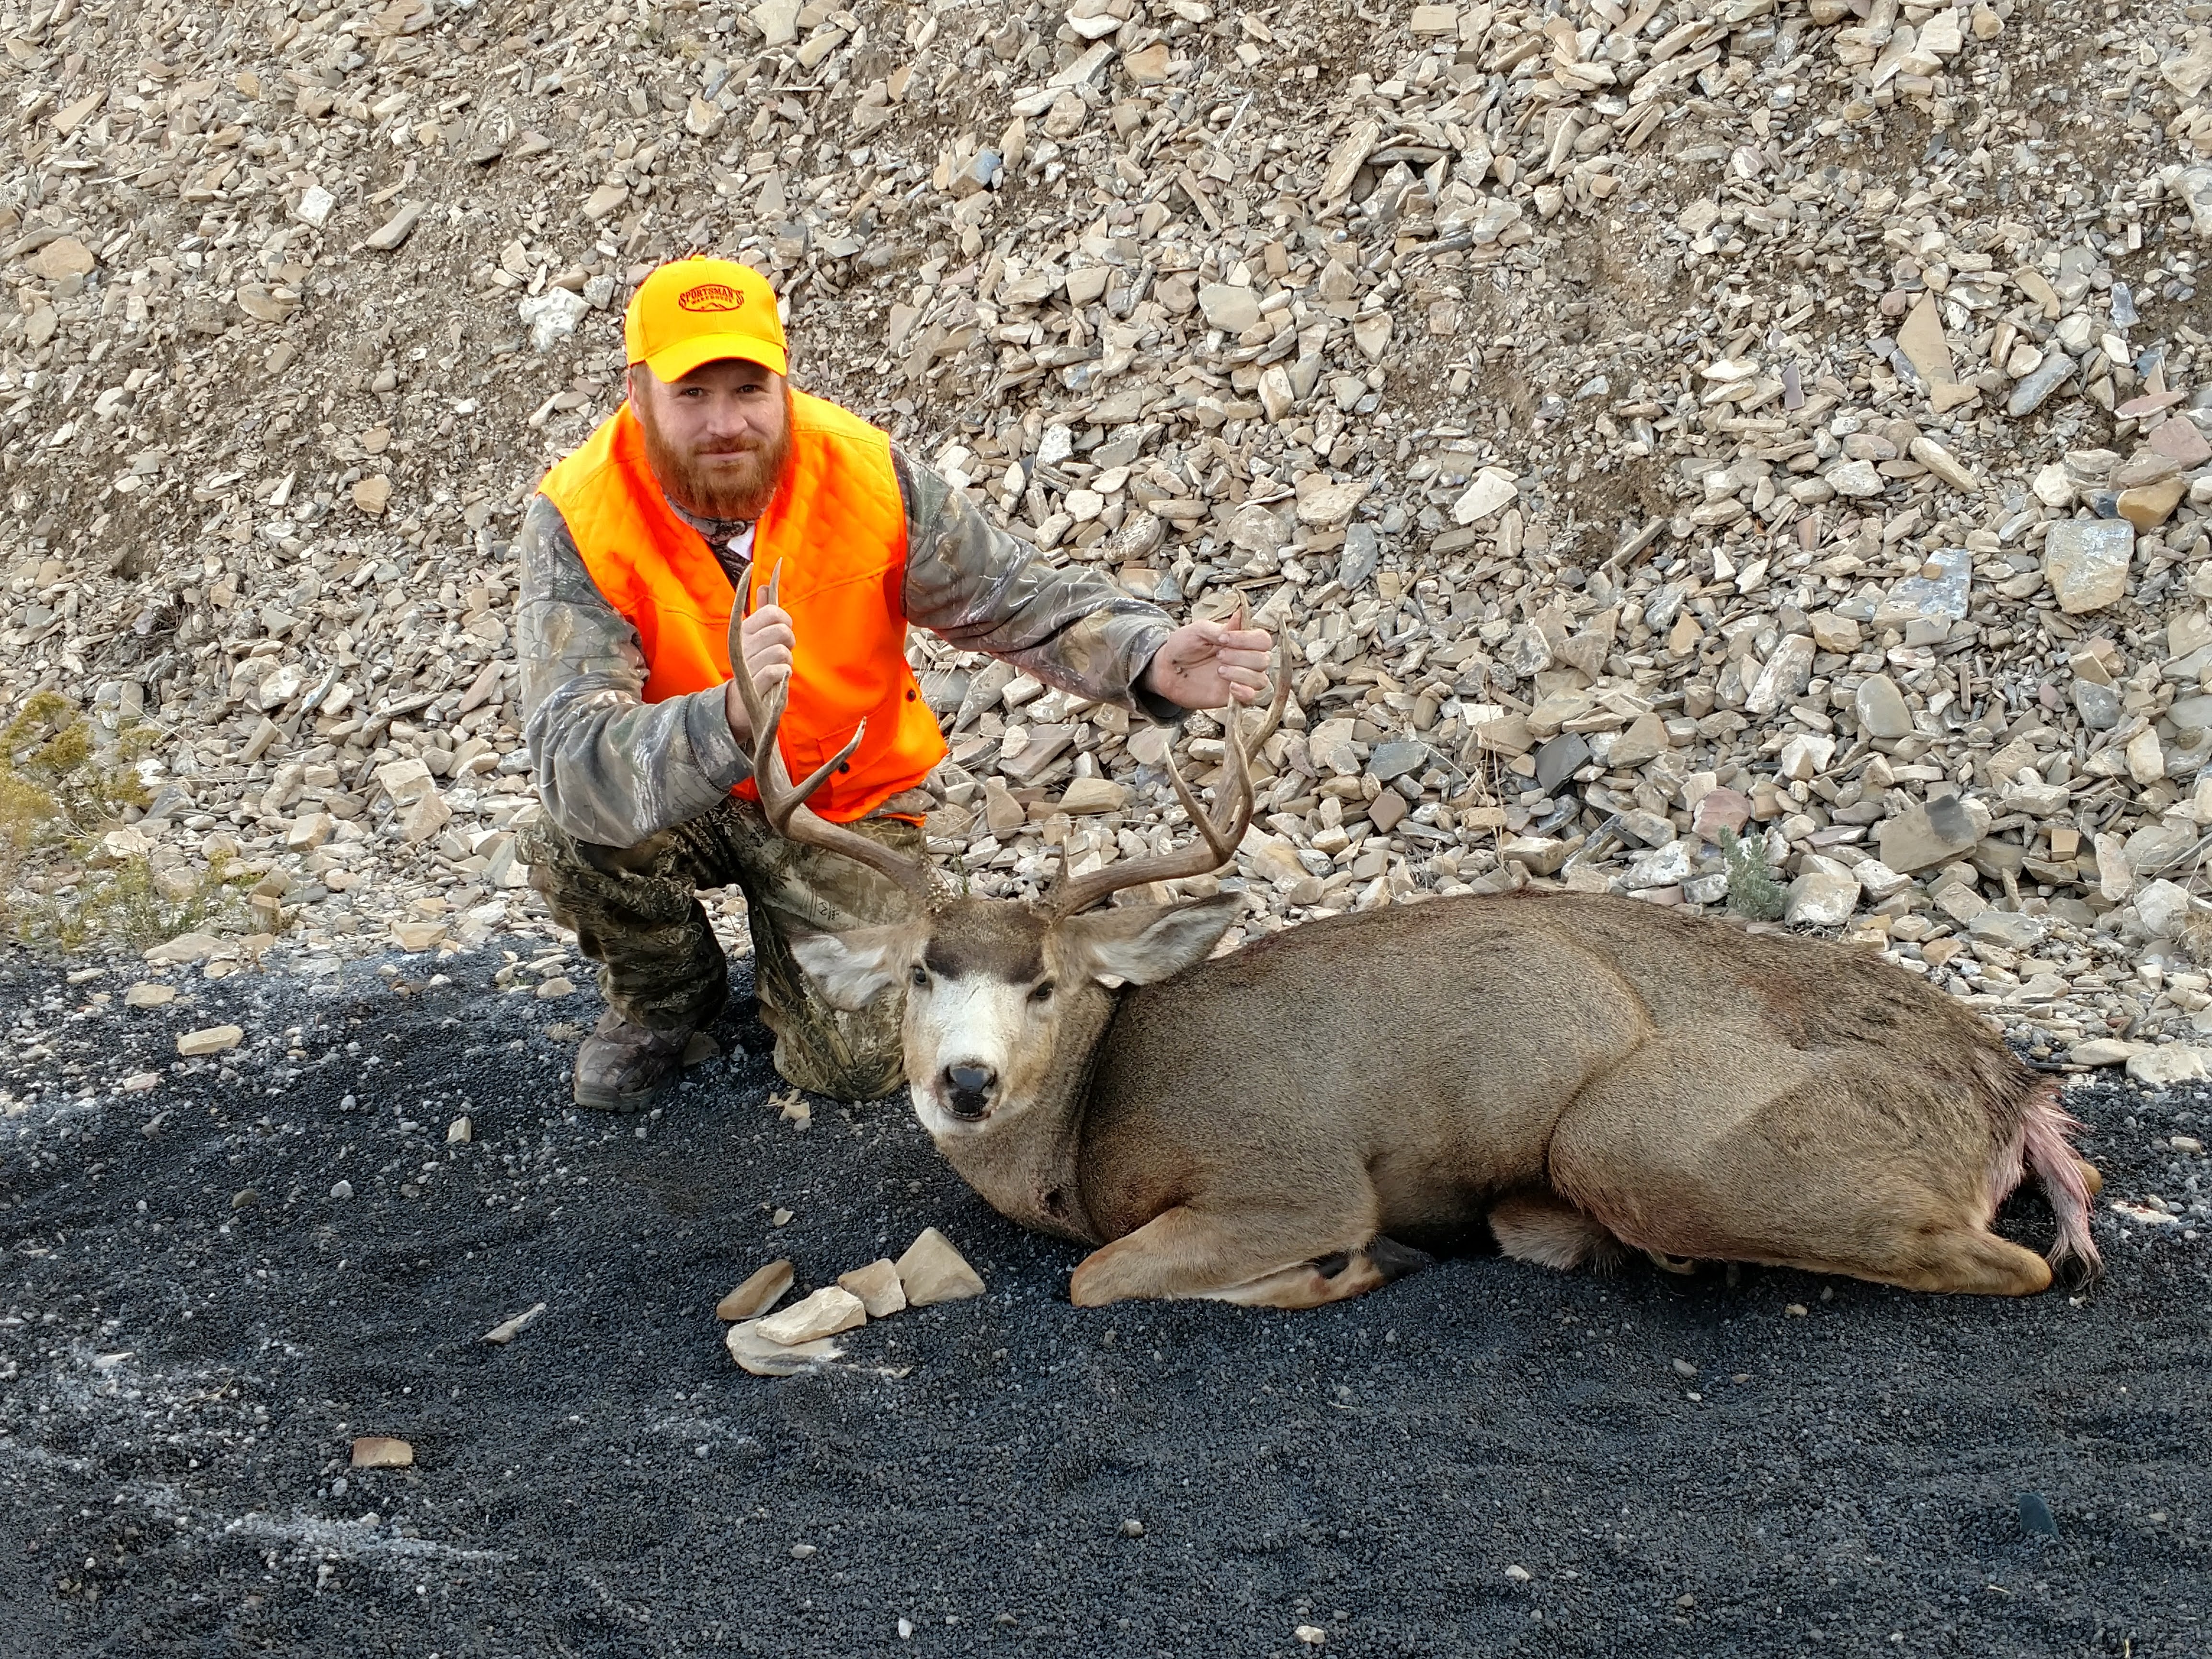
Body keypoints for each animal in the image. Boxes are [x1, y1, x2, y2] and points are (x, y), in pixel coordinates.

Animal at [725, 604, 2104, 1310]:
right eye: (920, 972)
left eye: (1047, 983)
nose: (963, 1083)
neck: (1082, 1138)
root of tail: (2004, 1084)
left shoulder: (1286, 1169)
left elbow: (1101, 1280)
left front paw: (1352, 1266)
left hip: (1644, 1135)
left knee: (2011, 1263)